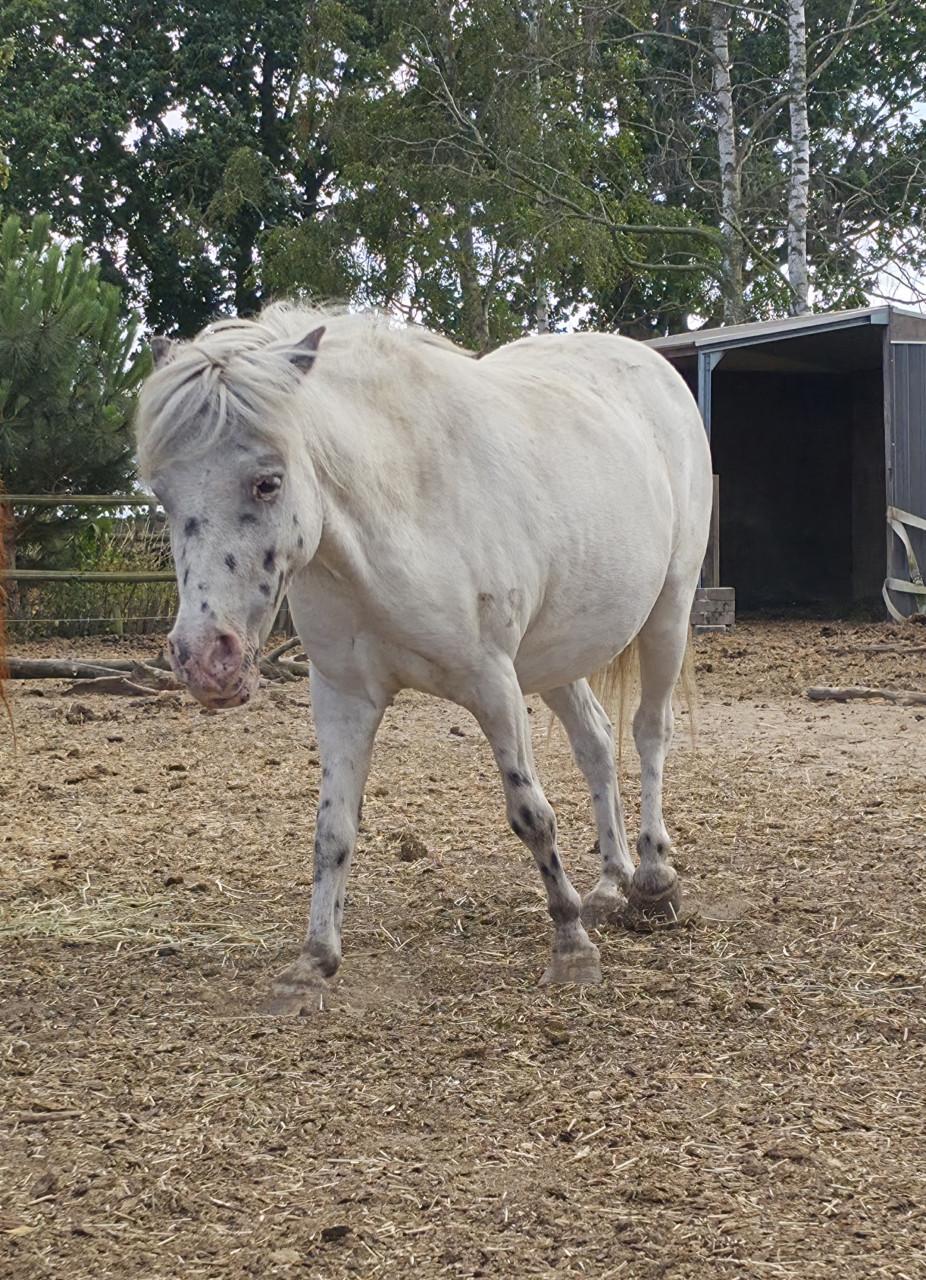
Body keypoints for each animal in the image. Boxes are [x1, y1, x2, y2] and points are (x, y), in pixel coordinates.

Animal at [135, 303, 712, 1012]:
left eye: (267, 482)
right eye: (161, 492)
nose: (202, 659)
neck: (400, 504)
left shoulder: (492, 684)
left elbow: (532, 816)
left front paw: (571, 948)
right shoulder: (343, 696)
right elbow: (332, 829)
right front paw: (312, 963)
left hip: (667, 614)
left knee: (650, 732)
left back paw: (654, 878)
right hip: (556, 657)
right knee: (597, 744)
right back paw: (609, 882)